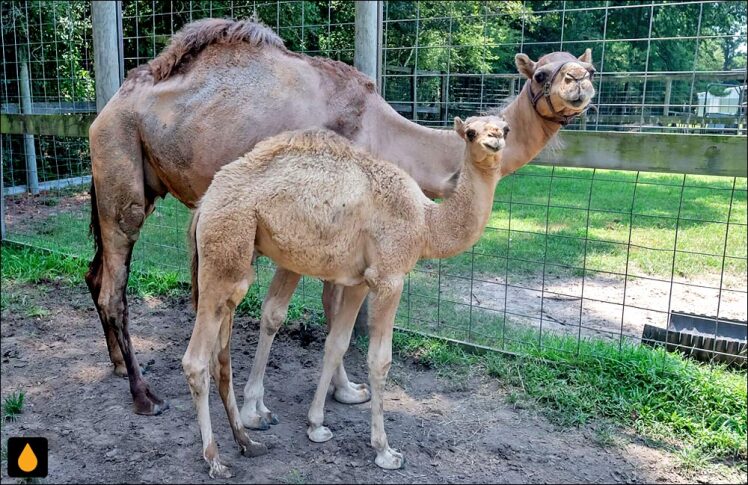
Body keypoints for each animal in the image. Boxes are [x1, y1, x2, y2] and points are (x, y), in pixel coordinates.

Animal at [86, 18, 596, 412]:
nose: (579, 82)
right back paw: (144, 394)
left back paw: (117, 364)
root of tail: (109, 105)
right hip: (120, 166)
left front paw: (342, 391)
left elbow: (336, 311)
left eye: (587, 67)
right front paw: (339, 392)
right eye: (541, 74)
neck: (386, 134)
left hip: (140, 177)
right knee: (114, 282)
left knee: (95, 274)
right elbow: (319, 311)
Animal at [188, 114, 508, 476]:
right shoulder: (389, 278)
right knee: (196, 360)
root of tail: (204, 204)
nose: (493, 140)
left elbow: (336, 344)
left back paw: (248, 441)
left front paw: (316, 425)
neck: (426, 224)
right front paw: (385, 451)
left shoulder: (361, 281)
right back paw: (216, 459)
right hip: (227, 250)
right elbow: (380, 360)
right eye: (470, 133)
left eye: (504, 128)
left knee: (223, 355)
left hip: (235, 257)